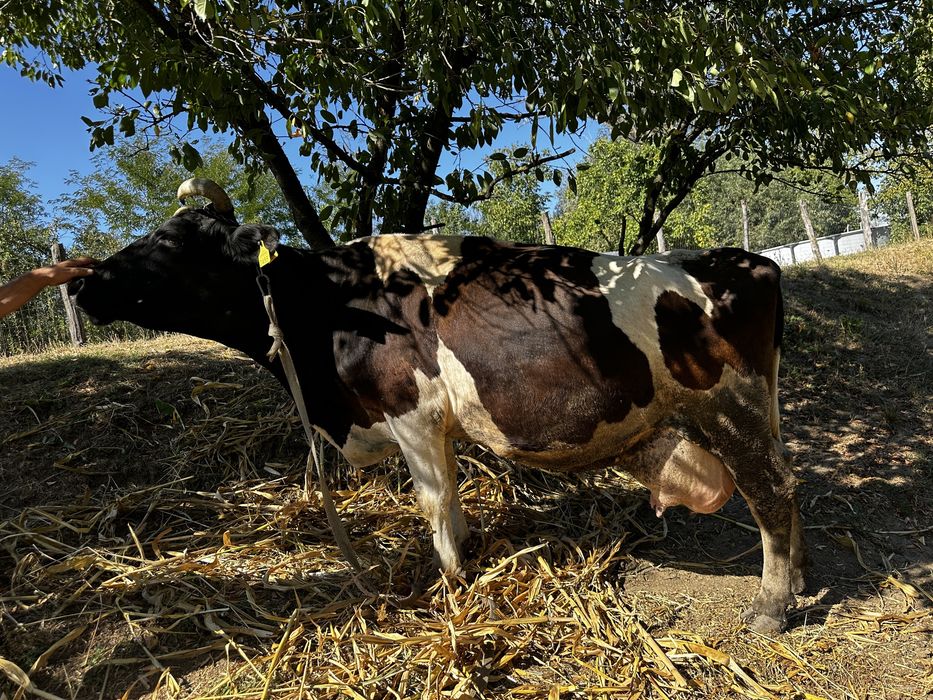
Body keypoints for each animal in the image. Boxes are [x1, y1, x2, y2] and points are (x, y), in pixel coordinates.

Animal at [70, 178, 806, 634]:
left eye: (169, 244)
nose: (83, 283)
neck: (331, 307)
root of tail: (746, 260)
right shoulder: (434, 424)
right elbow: (451, 500)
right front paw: (470, 558)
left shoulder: (412, 414)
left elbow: (433, 505)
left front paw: (453, 586)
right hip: (753, 403)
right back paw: (792, 586)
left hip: (729, 404)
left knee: (771, 493)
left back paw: (771, 606)